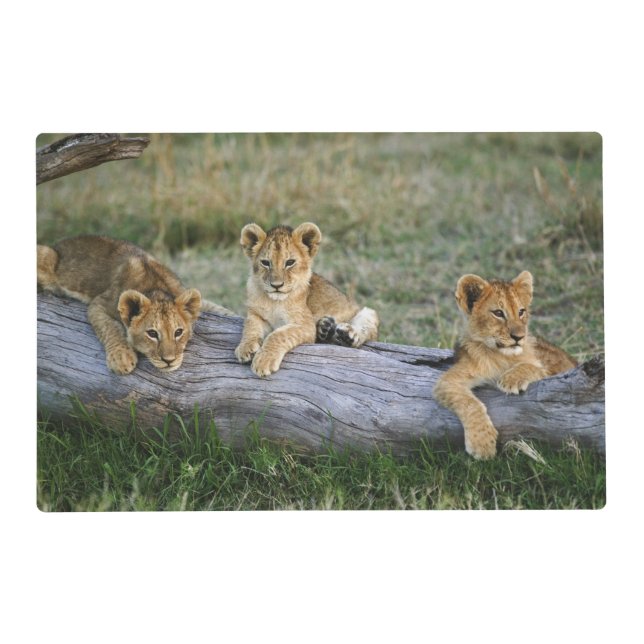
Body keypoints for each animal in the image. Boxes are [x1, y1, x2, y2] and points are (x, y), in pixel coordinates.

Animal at [37, 235, 233, 375]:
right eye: (152, 334)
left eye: (178, 332)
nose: (169, 360)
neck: (156, 287)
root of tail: (58, 244)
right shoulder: (99, 304)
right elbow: (110, 328)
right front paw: (121, 358)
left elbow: (217, 308)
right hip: (45, 254)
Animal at [234, 222, 379, 377]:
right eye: (266, 263)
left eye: (290, 262)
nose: (276, 285)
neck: (274, 301)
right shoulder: (255, 314)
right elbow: (250, 327)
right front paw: (245, 348)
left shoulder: (305, 325)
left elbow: (278, 335)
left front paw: (263, 361)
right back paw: (325, 327)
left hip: (367, 312)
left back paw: (346, 334)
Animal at [433, 270, 577, 460]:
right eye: (498, 313)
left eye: (521, 312)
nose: (519, 337)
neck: (502, 356)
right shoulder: (449, 381)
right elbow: (470, 403)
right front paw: (482, 444)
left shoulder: (553, 373)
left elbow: (533, 367)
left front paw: (511, 379)